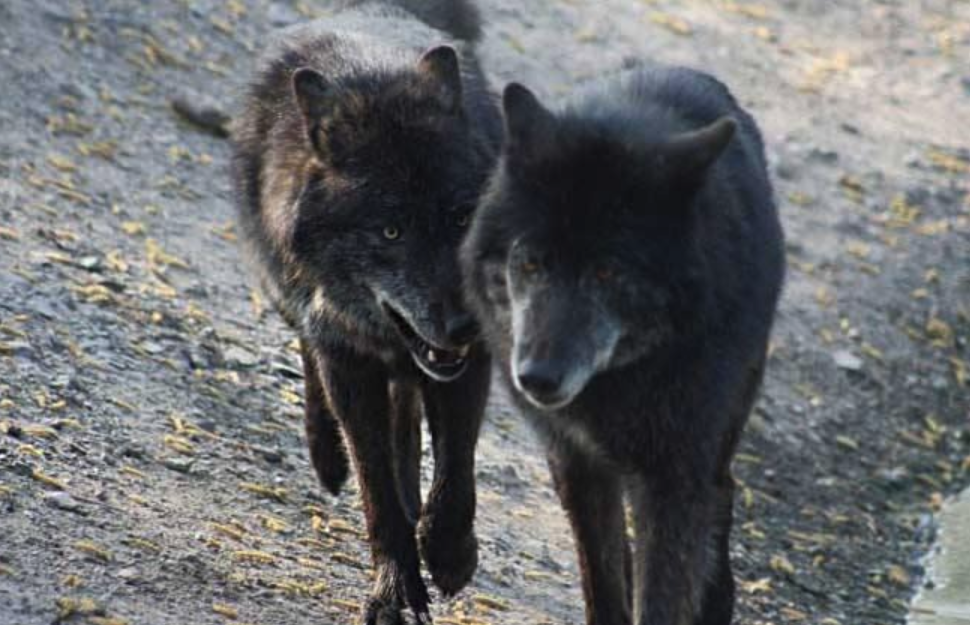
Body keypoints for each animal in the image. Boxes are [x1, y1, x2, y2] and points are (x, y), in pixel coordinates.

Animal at [230, 2, 496, 620]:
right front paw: (395, 590)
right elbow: (376, 491)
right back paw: (327, 454)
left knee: (408, 416)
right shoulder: (348, 356)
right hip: (293, 298)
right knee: (312, 358)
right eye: (391, 231)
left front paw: (448, 550)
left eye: (460, 217)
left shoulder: (470, 360)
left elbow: (455, 469)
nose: (463, 324)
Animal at [458, 64, 784, 624]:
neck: (619, 380)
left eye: (607, 272)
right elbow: (604, 578)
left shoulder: (674, 475)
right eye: (530, 262)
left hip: (718, 438)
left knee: (721, 501)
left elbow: (665, 590)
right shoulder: (576, 460)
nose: (536, 378)